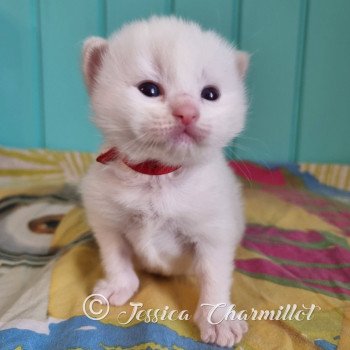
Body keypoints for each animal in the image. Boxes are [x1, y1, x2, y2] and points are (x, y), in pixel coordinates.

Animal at [81, 17, 249, 348]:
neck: (157, 175)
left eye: (210, 94)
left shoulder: (214, 230)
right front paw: (119, 285)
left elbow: (214, 274)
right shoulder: (106, 219)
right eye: (149, 89)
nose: (187, 112)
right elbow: (115, 255)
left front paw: (218, 318)